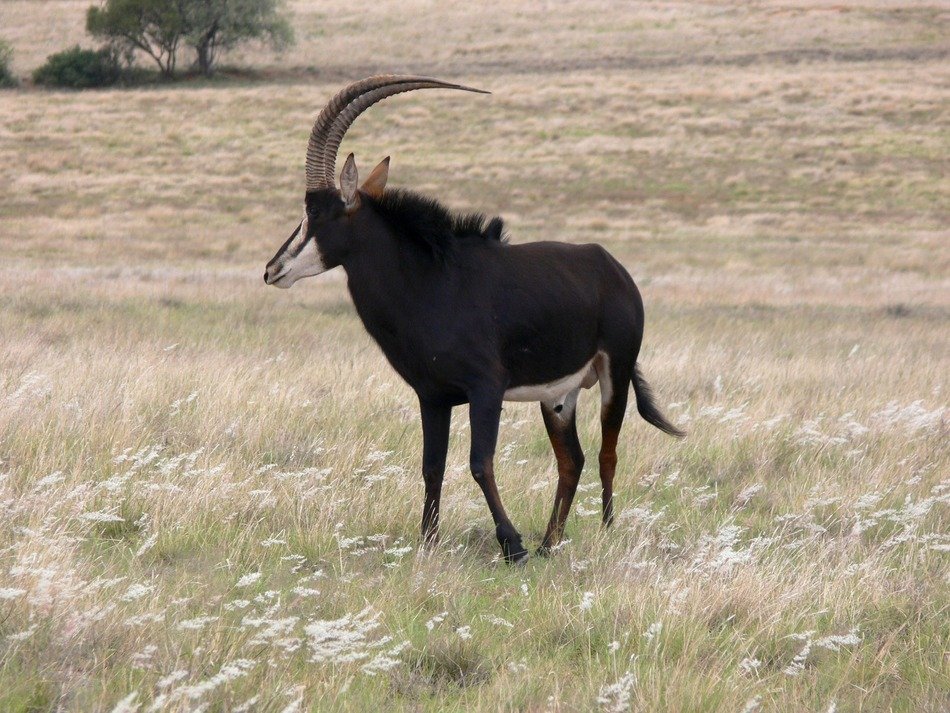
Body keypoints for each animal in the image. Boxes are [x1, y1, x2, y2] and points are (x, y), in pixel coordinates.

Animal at [268, 73, 684, 560]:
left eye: (316, 212)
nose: (272, 270)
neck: (431, 280)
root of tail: (613, 269)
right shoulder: (433, 396)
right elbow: (432, 466)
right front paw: (428, 543)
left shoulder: (486, 389)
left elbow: (479, 463)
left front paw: (512, 545)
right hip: (557, 397)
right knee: (572, 460)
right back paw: (549, 545)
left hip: (614, 373)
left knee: (606, 455)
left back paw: (604, 533)